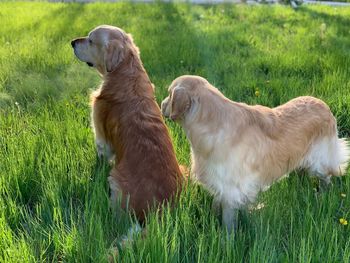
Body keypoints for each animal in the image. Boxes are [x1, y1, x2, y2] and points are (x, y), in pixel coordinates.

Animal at [69, 25, 182, 223]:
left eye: (90, 40)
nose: (72, 42)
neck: (125, 72)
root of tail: (161, 208)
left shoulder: (101, 134)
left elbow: (101, 156)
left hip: (115, 179)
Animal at [161, 75, 350, 233]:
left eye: (169, 94)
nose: (161, 104)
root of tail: (324, 105)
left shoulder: (231, 189)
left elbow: (228, 220)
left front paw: (226, 241)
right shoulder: (220, 183)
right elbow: (217, 204)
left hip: (319, 161)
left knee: (326, 177)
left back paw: (322, 195)